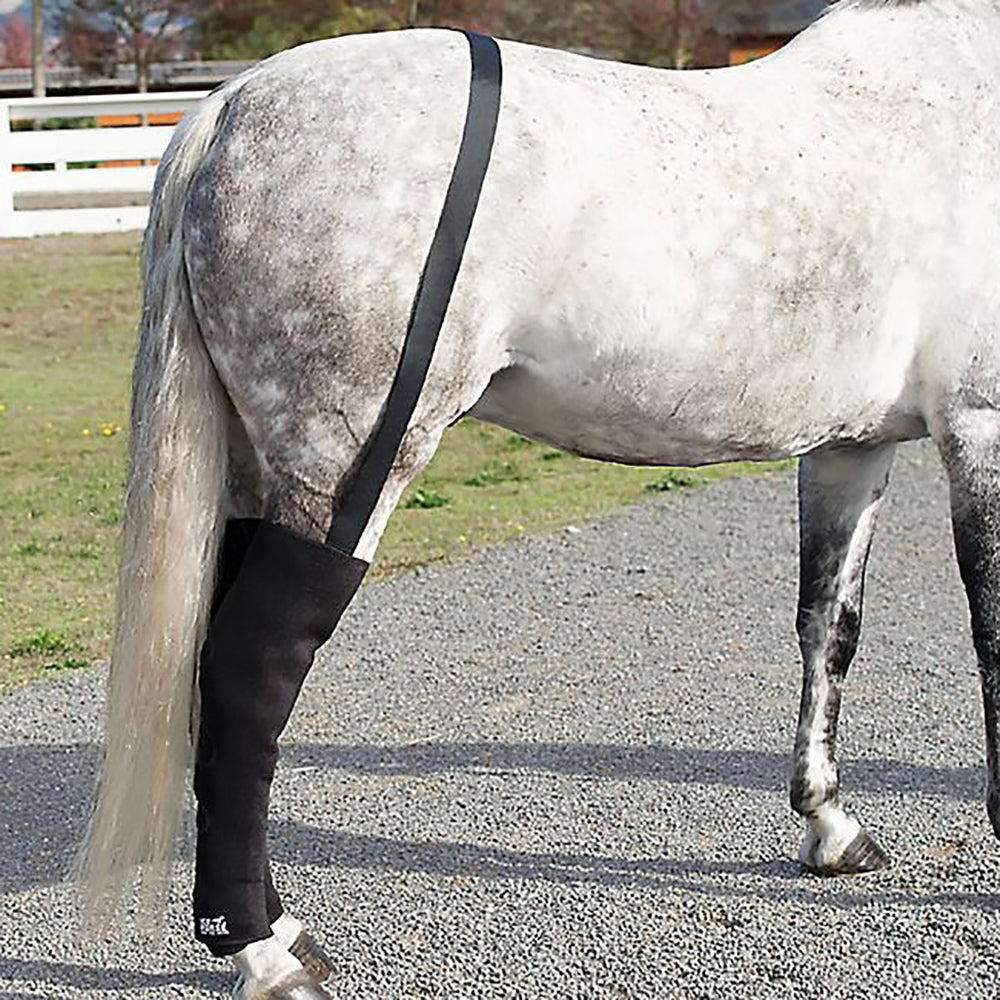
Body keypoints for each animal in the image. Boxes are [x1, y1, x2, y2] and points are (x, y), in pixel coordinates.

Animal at [77, 1, 1000, 997]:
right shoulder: (980, 428)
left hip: (260, 472)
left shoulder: (849, 449)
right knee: (251, 673)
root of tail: (232, 105)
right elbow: (991, 645)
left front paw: (829, 826)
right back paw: (265, 949)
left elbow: (828, 631)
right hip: (346, 464)